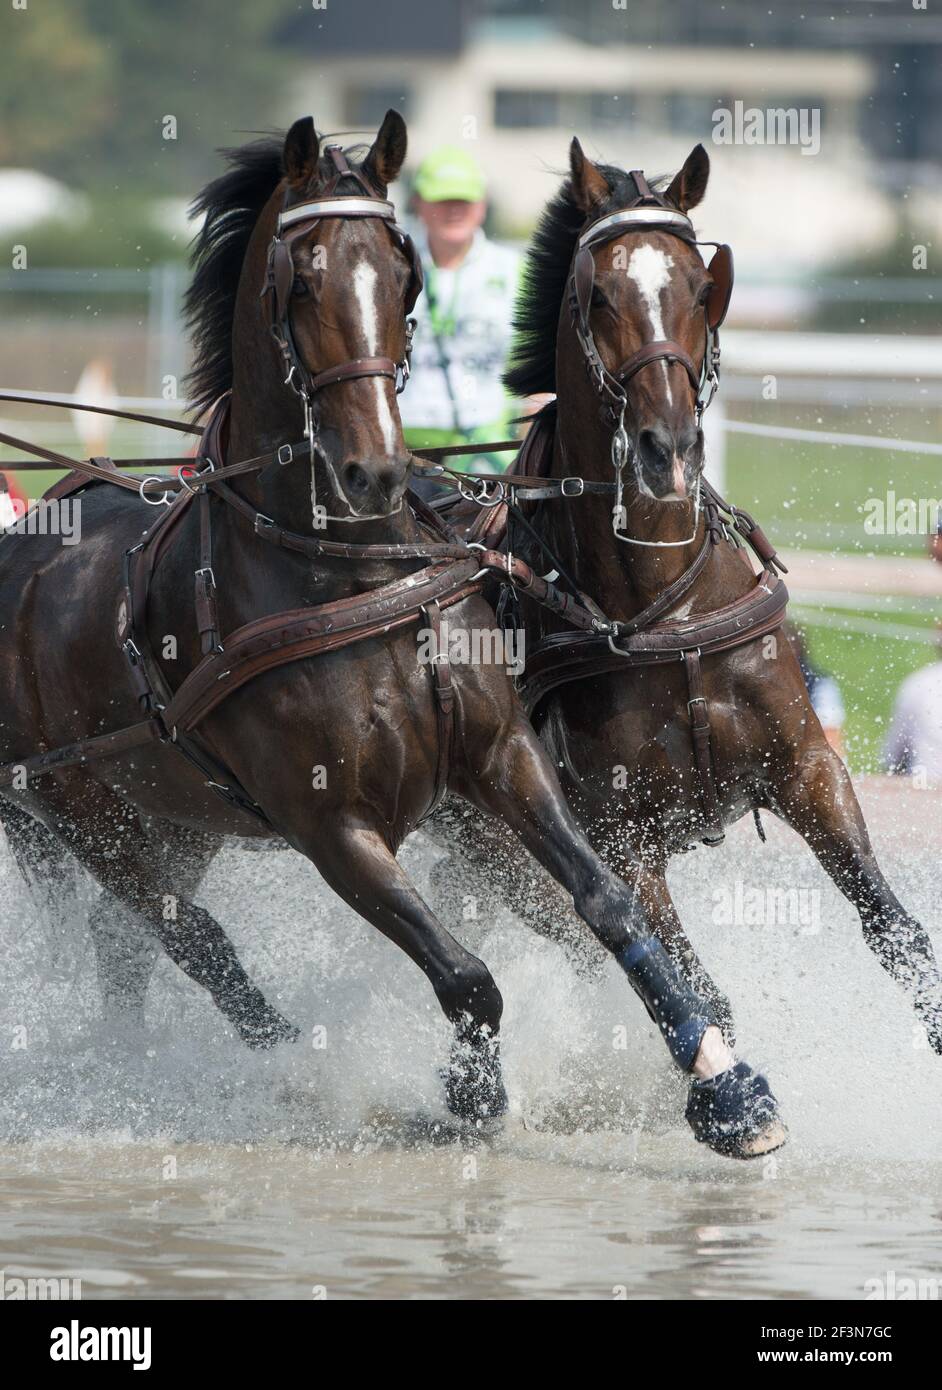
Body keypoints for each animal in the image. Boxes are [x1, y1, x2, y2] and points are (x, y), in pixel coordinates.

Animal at [0, 116, 783, 1150]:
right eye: (300, 281)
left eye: (401, 276)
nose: (372, 468)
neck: (349, 569)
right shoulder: (331, 826)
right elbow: (465, 977)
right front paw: (473, 1091)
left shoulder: (502, 756)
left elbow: (607, 905)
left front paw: (726, 1084)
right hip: (88, 817)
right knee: (189, 937)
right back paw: (280, 1068)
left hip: (175, 814)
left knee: (132, 944)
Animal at [425, 143, 942, 1095]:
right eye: (597, 294)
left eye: (703, 287)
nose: (667, 449)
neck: (664, 603)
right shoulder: (620, 841)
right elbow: (697, 986)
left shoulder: (808, 766)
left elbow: (892, 928)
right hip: (509, 846)